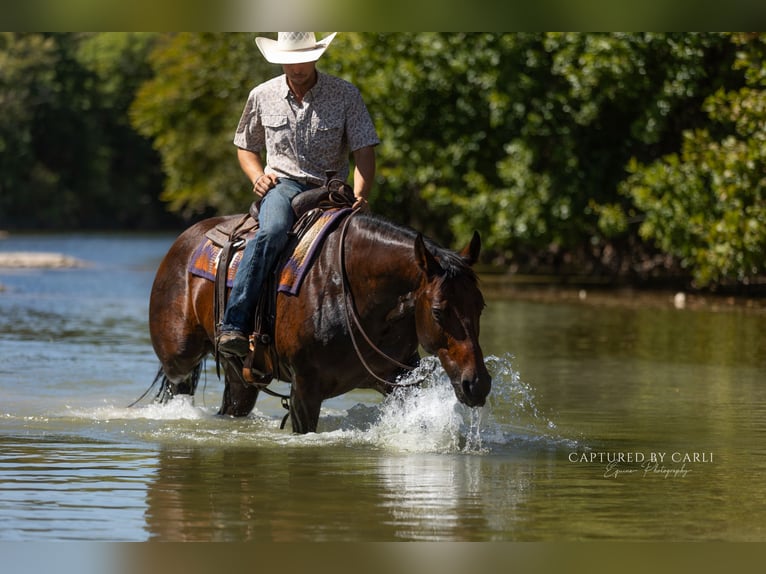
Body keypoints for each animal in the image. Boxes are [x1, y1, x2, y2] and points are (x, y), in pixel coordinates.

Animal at [147, 208, 491, 433]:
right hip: (179, 362)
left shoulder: (398, 382)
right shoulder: (304, 390)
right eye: (438, 311)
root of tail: (182, 242)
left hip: (241, 376)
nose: (477, 384)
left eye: (480, 306)